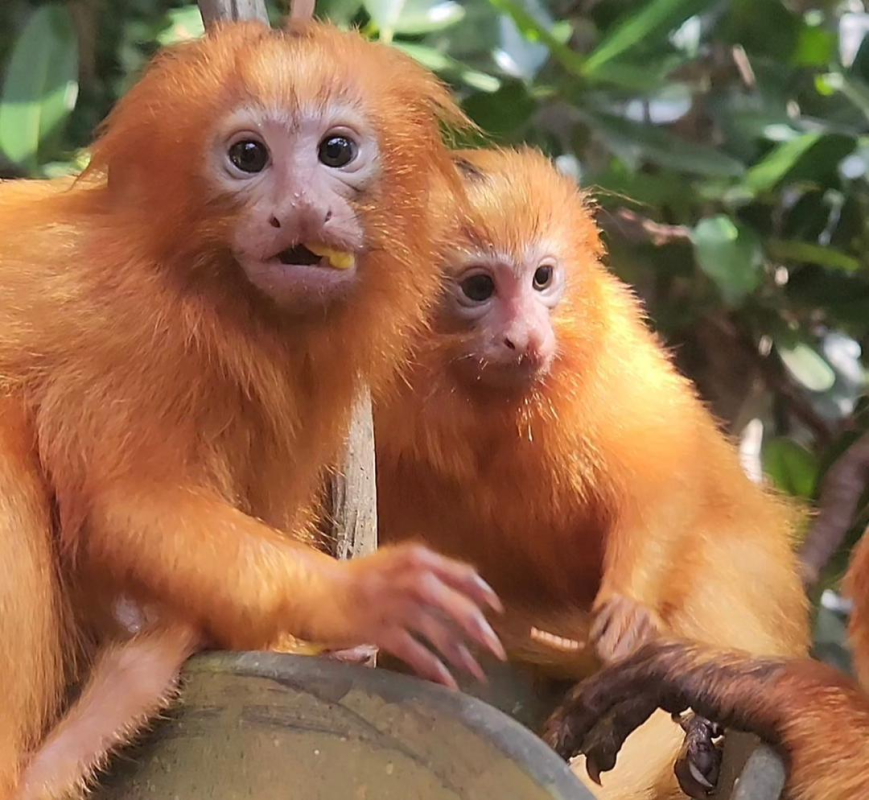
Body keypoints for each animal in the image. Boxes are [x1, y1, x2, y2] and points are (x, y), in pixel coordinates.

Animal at [0, 19, 508, 799]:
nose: (298, 208)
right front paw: (352, 597)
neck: (214, 296)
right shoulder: (132, 334)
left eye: (336, 151)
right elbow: (129, 505)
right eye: (248, 156)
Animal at [373, 146, 810, 800]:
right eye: (478, 288)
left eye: (542, 278)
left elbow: (663, 476)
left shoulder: (617, 360)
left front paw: (626, 619)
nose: (524, 337)